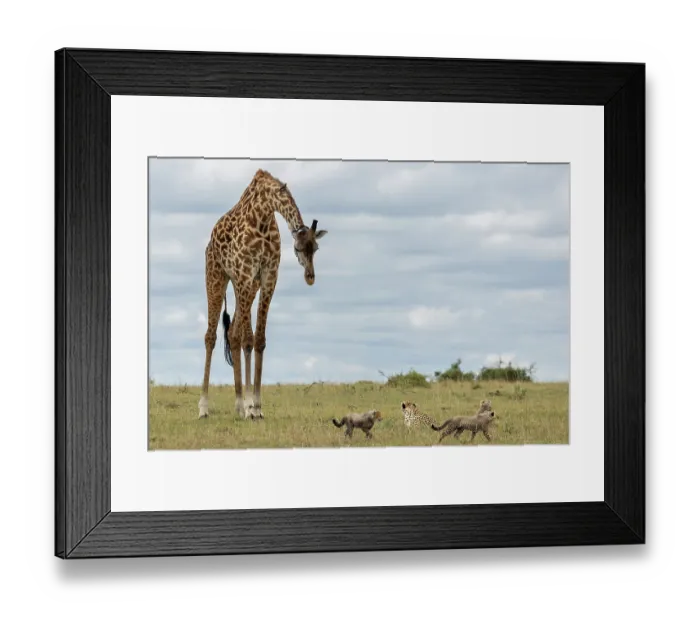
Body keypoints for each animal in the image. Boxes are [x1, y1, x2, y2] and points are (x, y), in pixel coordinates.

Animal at [197, 169, 328, 420]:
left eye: (315, 248)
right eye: (297, 248)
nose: (310, 277)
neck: (264, 214)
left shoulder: (268, 276)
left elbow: (259, 340)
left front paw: (256, 406)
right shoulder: (246, 272)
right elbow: (248, 340)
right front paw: (251, 406)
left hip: (245, 285)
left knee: (233, 333)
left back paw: (238, 405)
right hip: (218, 276)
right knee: (211, 336)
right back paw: (204, 407)